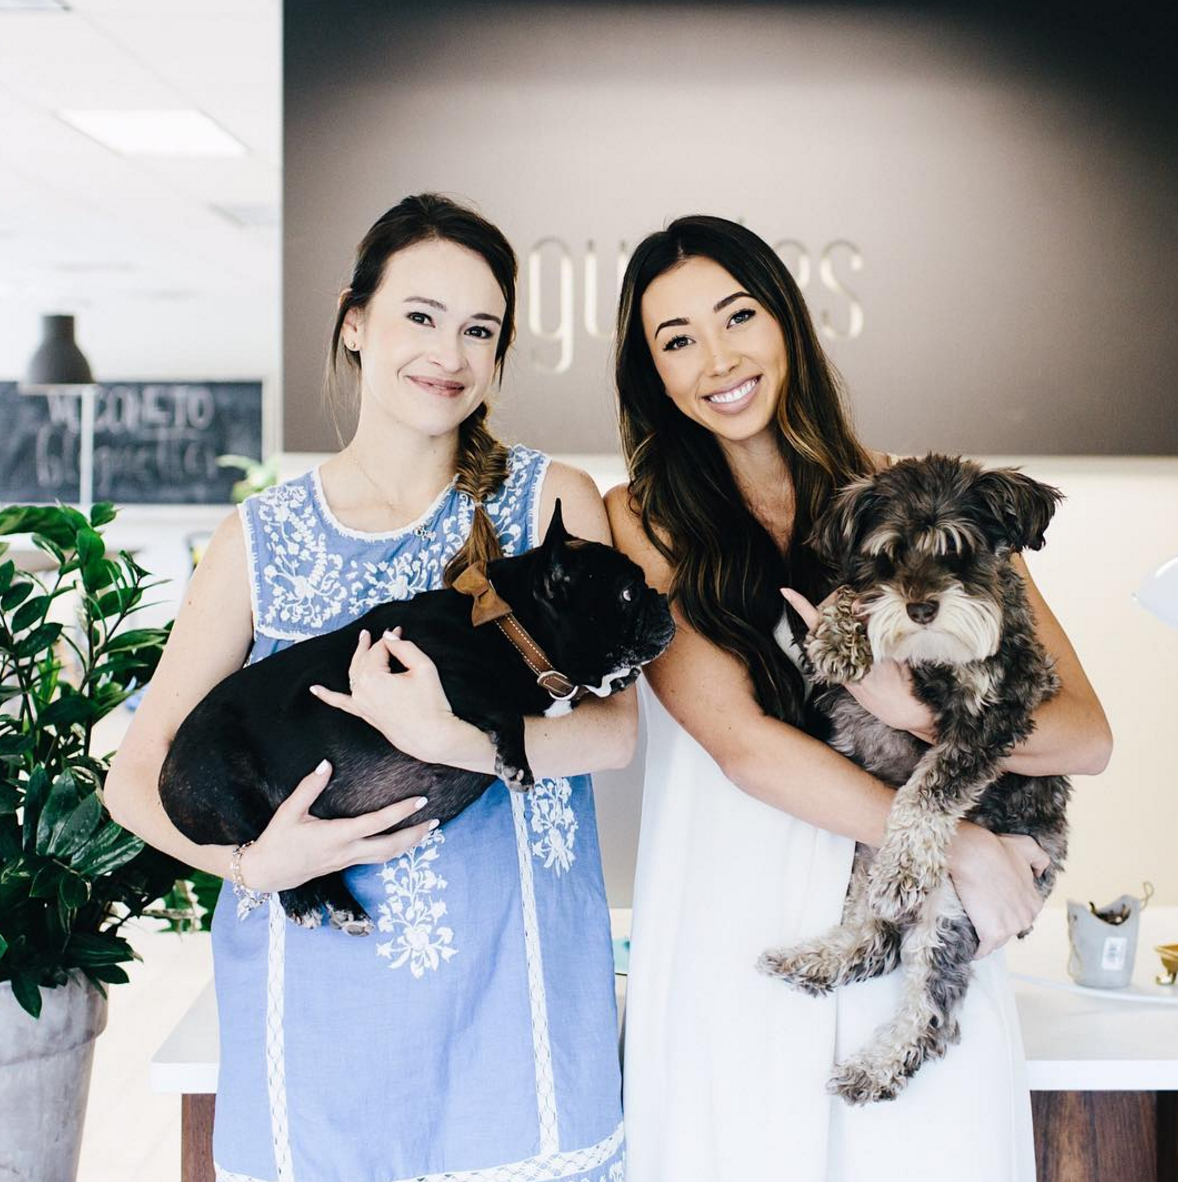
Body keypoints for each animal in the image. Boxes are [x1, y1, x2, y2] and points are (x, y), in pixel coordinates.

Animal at [159, 501, 674, 933]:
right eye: (628, 593)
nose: (662, 597)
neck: (511, 625)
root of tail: (167, 769)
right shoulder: (437, 681)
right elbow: (506, 709)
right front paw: (517, 763)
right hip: (234, 795)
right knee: (273, 853)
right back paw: (304, 901)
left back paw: (344, 906)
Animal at [758, 454, 1071, 1104]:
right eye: (888, 557)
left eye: (960, 553)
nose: (920, 608)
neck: (927, 656)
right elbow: (848, 598)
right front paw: (838, 633)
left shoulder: (995, 713)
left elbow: (931, 790)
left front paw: (907, 864)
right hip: (859, 859)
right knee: (873, 937)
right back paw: (813, 959)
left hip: (952, 907)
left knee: (930, 1009)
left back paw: (873, 1068)